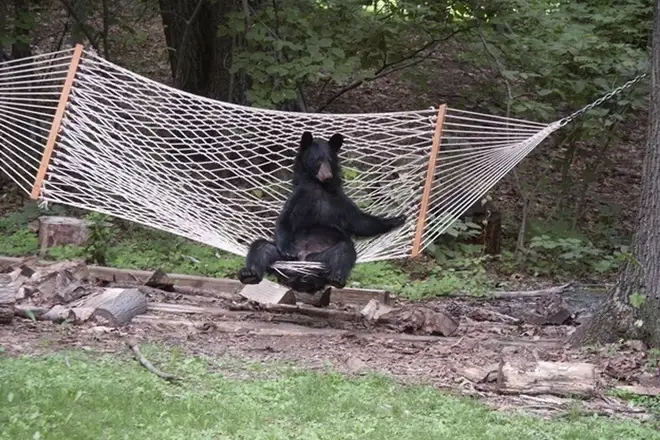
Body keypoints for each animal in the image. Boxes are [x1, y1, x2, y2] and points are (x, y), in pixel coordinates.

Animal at [237, 131, 407, 293]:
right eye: (317, 160)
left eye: (329, 160)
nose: (327, 176)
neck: (320, 187)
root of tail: (301, 268)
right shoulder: (301, 196)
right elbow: (285, 220)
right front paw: (287, 249)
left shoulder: (338, 199)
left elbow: (358, 221)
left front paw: (396, 219)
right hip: (283, 260)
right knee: (261, 247)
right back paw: (249, 274)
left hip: (320, 258)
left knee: (344, 251)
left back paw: (336, 278)